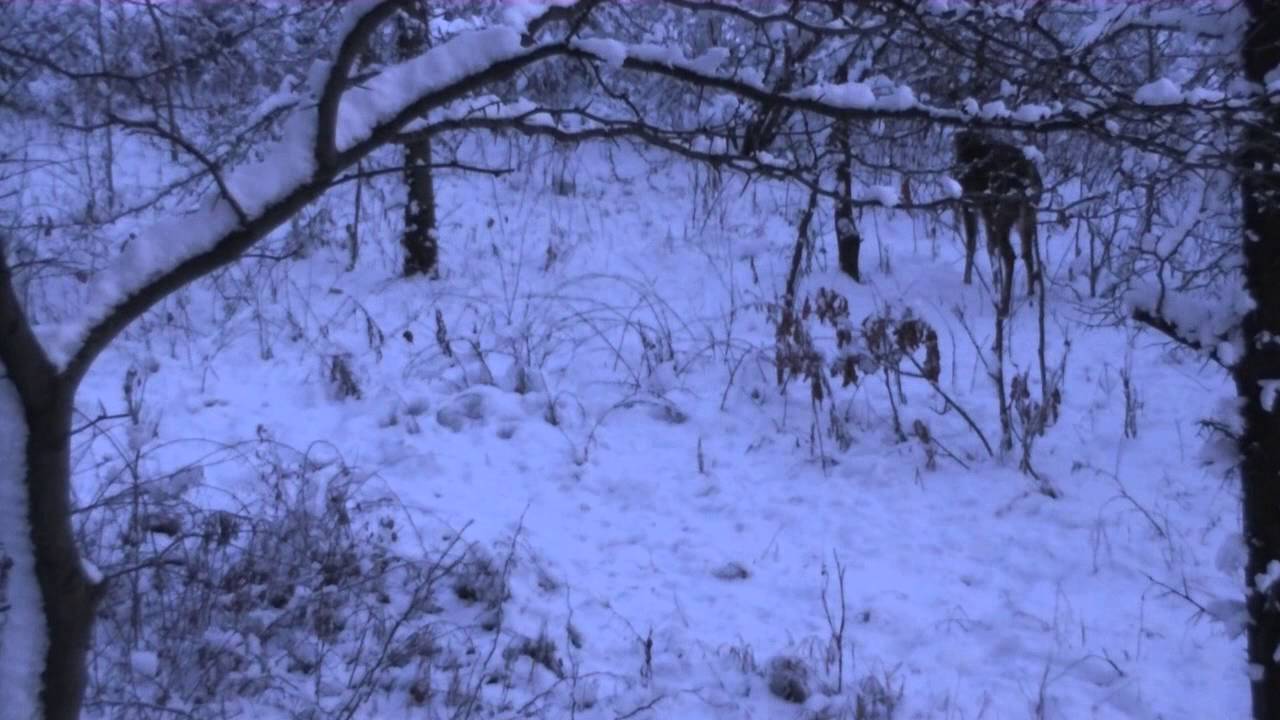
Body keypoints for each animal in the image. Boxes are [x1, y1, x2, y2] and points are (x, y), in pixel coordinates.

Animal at [953, 130, 1043, 314]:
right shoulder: (984, 211)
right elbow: (990, 246)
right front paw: (994, 284)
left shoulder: (969, 202)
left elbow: (972, 242)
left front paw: (967, 281)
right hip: (1028, 214)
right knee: (1027, 252)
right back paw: (1030, 293)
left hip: (1001, 212)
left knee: (1010, 255)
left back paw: (1005, 304)